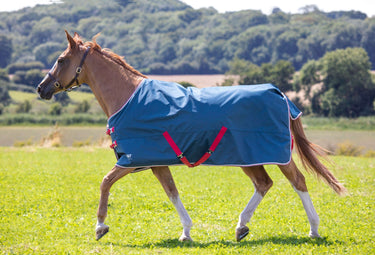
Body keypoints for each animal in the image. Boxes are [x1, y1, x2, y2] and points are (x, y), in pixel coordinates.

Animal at [37, 31, 346, 243]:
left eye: (61, 60)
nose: (41, 88)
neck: (128, 97)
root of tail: (278, 93)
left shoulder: (132, 159)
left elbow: (105, 182)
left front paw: (100, 227)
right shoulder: (155, 162)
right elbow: (172, 192)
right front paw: (186, 232)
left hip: (274, 155)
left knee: (298, 181)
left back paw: (314, 229)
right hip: (248, 157)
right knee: (264, 183)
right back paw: (241, 227)